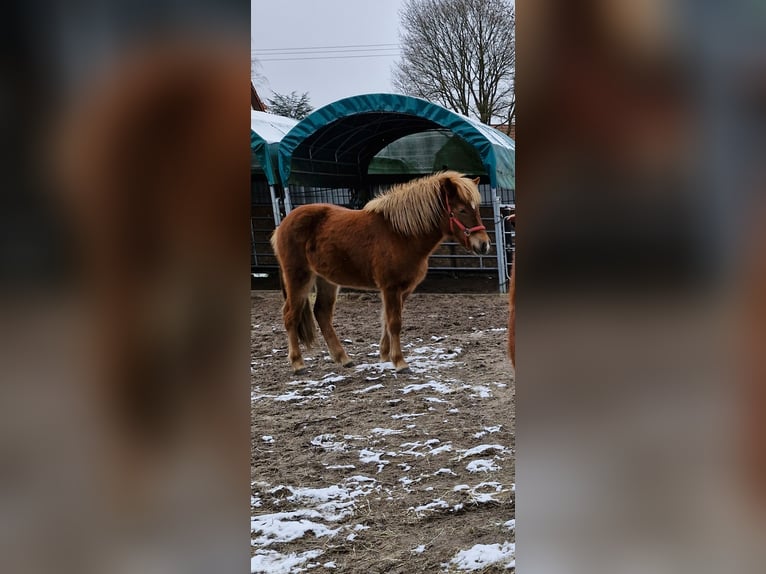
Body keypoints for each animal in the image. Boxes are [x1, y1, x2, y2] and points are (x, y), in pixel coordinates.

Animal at [274, 171, 492, 376]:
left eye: (477, 209)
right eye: (461, 210)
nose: (484, 244)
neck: (401, 234)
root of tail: (283, 224)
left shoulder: (404, 289)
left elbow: (387, 320)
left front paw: (385, 355)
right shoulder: (390, 288)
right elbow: (394, 323)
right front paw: (400, 362)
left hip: (326, 280)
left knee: (322, 313)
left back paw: (343, 358)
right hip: (299, 277)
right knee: (290, 315)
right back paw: (298, 364)